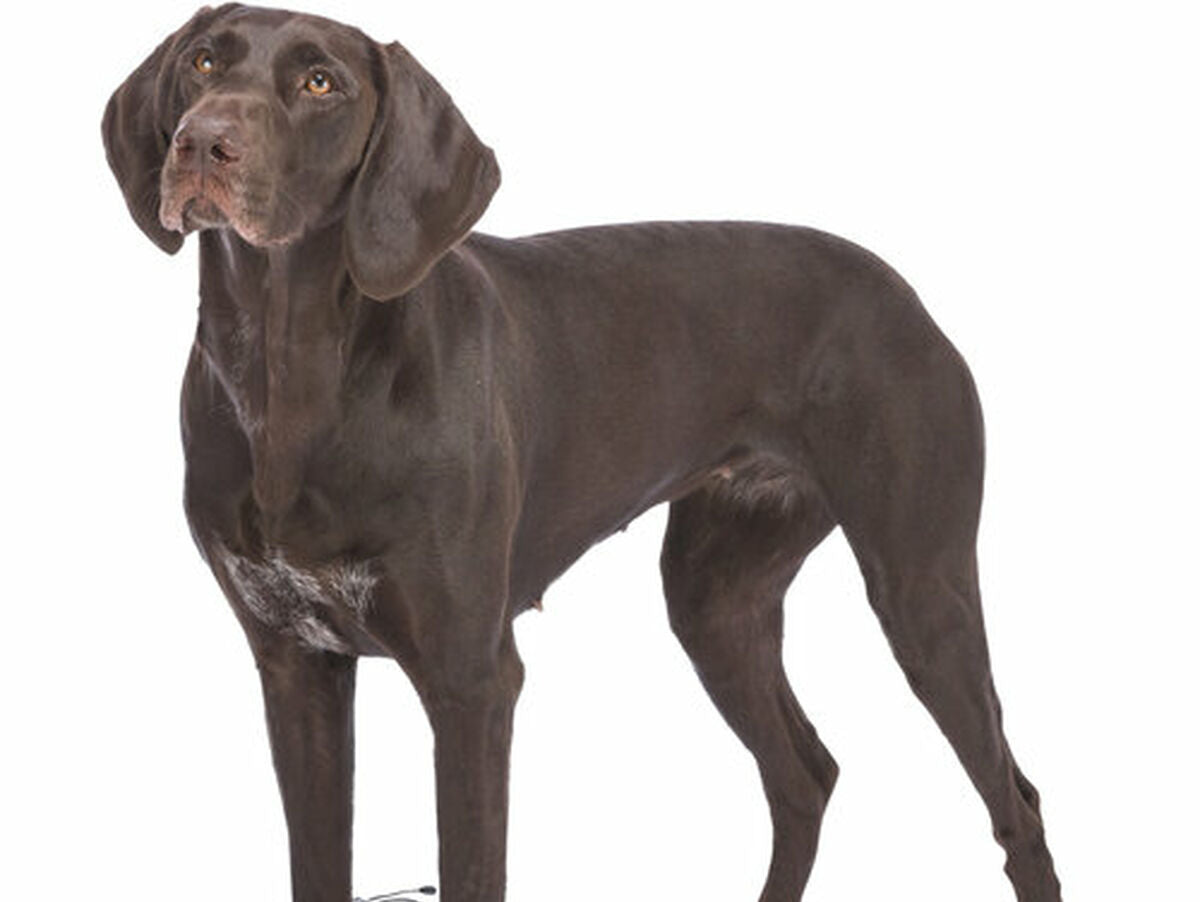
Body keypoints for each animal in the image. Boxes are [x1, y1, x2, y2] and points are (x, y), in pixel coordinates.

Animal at [102, 5, 1061, 901]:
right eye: (204, 62)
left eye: (320, 83)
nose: (202, 144)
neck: (291, 367)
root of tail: (905, 291)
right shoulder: (297, 668)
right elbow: (318, 864)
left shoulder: (471, 681)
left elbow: (472, 868)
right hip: (716, 601)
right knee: (805, 776)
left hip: (922, 594)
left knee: (1016, 803)